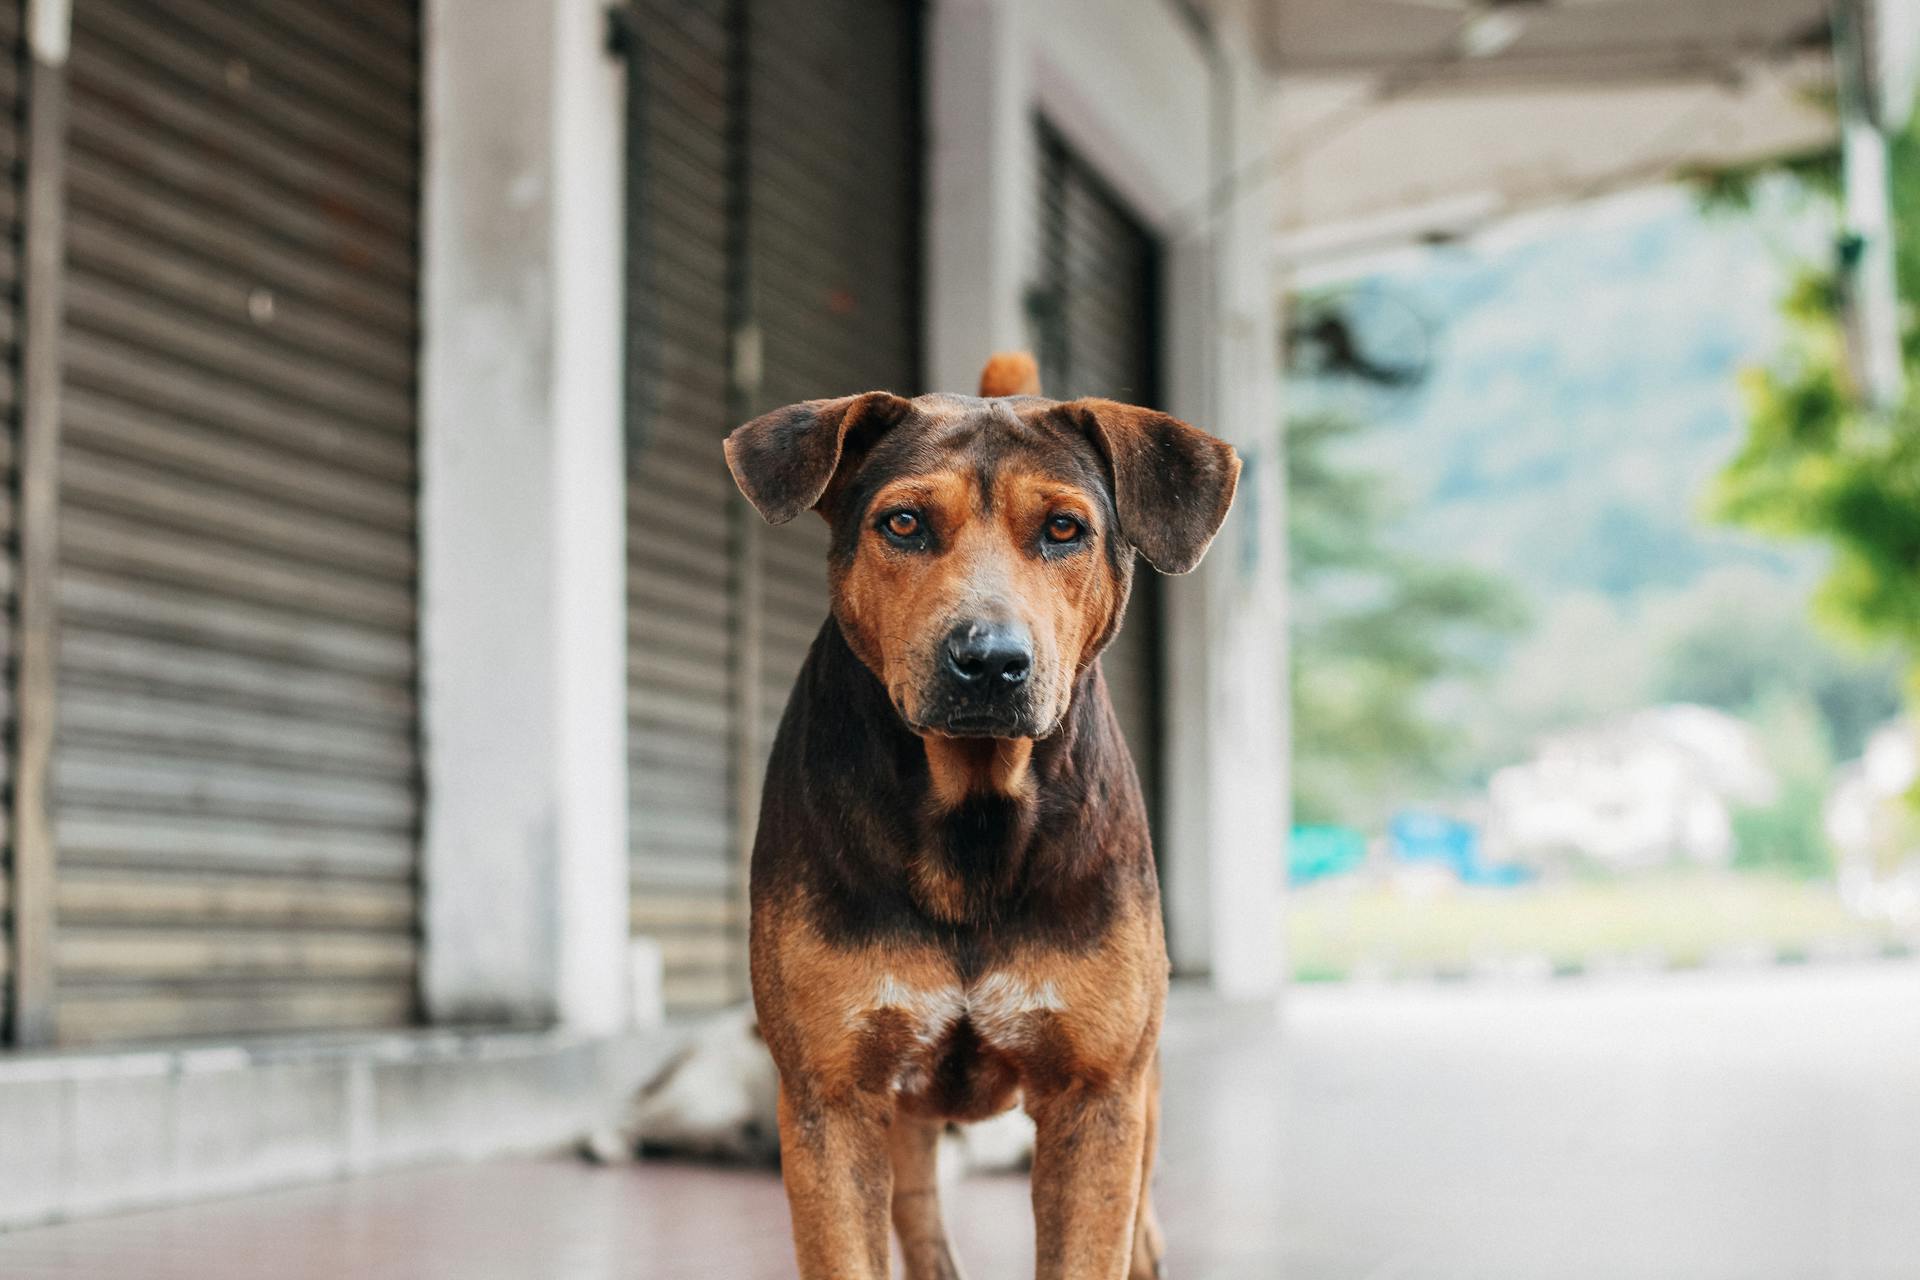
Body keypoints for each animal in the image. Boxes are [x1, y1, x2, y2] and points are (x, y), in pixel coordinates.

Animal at [721, 351, 1244, 1280]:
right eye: (903, 524)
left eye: (1065, 530)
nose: (990, 660)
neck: (973, 811)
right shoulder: (831, 1096)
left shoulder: (1097, 1093)